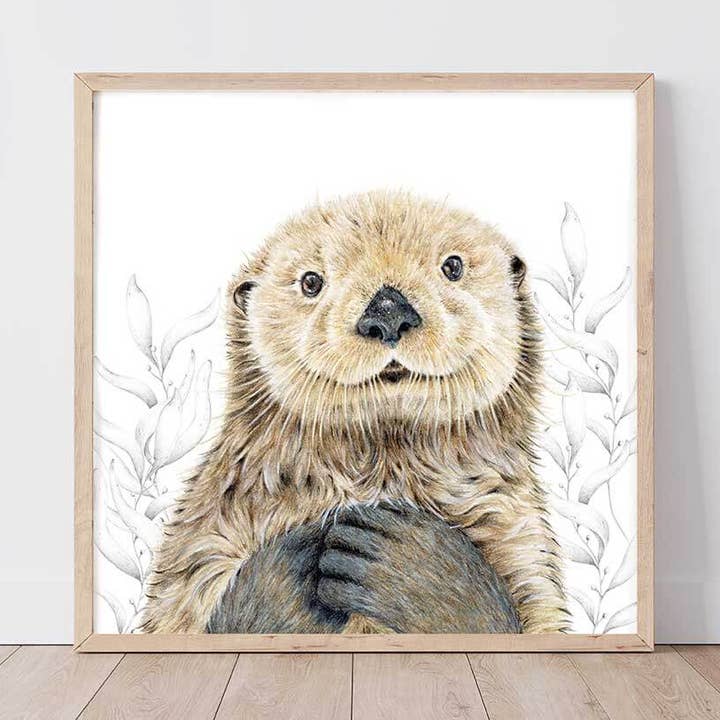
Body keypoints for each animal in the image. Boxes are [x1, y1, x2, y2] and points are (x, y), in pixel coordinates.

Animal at [142, 190, 568, 635]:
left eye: (453, 266)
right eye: (311, 281)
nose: (388, 311)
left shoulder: (524, 550)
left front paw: (410, 561)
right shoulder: (202, 554)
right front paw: (296, 559)